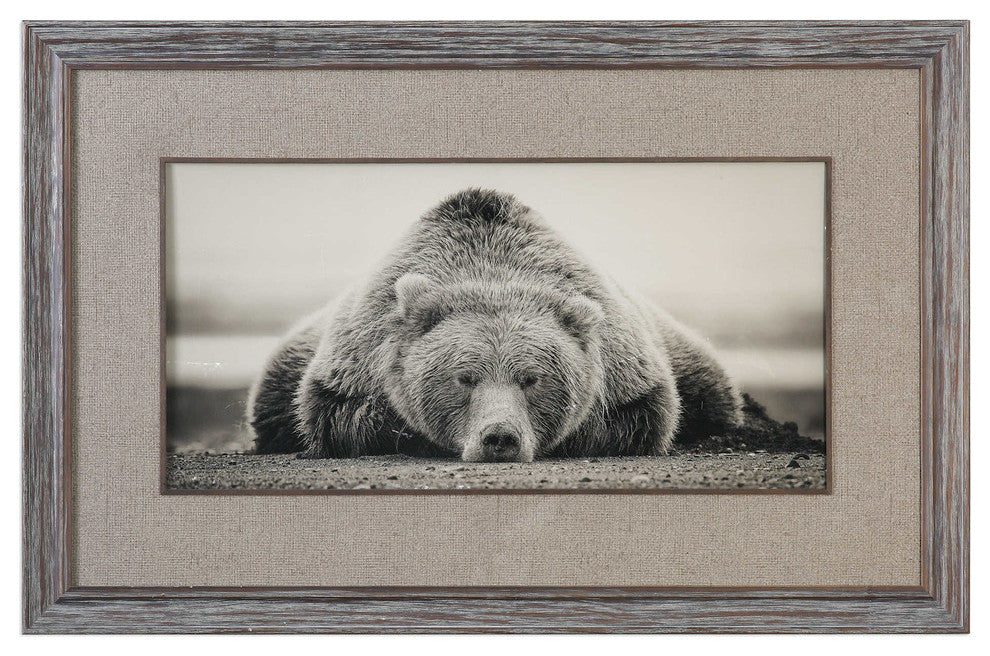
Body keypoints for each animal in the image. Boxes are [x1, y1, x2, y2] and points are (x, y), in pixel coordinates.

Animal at [247, 188, 743, 462]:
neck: (492, 268)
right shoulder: (355, 361)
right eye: (464, 377)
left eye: (532, 378)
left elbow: (642, 416)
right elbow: (339, 415)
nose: (499, 438)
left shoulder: (628, 370)